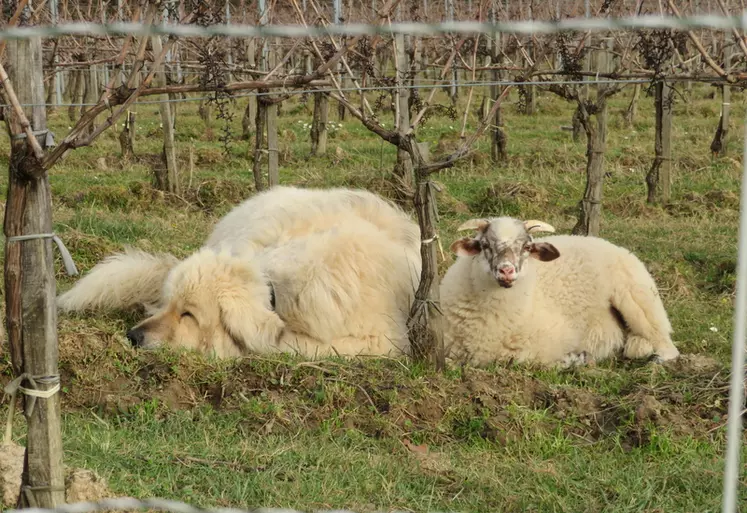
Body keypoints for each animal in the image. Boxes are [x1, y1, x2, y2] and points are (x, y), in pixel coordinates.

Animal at [442, 216, 680, 368]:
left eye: (527, 248)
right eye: (484, 245)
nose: (506, 271)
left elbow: (521, 359)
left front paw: (575, 359)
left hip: (637, 301)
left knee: (668, 345)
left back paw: (657, 359)